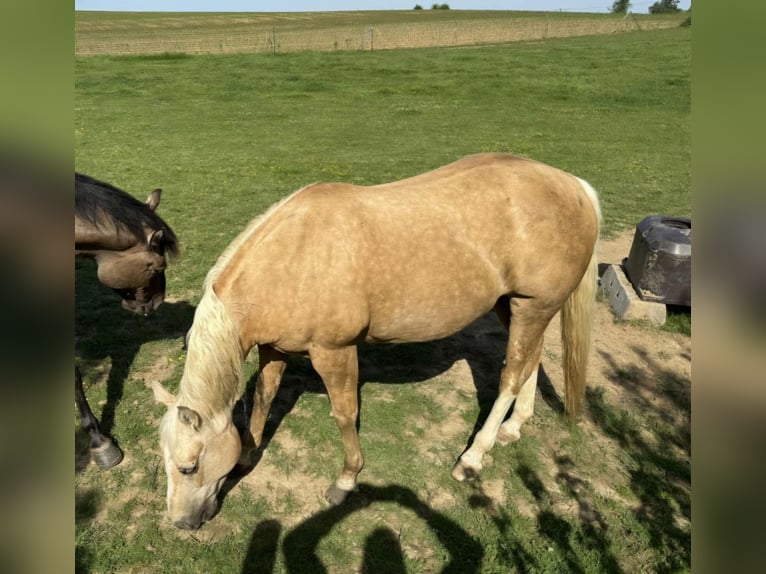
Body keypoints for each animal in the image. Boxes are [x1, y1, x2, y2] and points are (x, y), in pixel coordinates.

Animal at [152, 153, 600, 530]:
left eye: (189, 466)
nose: (181, 523)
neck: (292, 259)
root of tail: (576, 186)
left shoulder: (333, 352)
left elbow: (344, 414)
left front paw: (347, 480)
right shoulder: (273, 348)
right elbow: (264, 398)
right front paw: (248, 453)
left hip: (534, 307)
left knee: (510, 377)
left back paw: (473, 458)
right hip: (517, 307)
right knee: (529, 363)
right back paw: (513, 428)